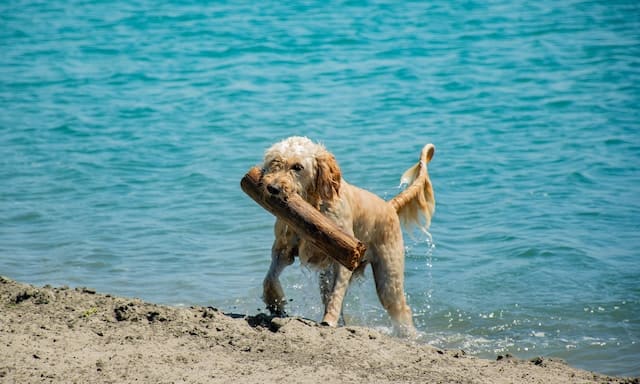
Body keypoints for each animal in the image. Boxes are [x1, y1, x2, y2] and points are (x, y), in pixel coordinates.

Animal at [260, 136, 436, 334]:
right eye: (274, 162)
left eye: (297, 167)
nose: (272, 188)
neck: (312, 205)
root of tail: (390, 206)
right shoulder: (284, 249)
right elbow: (269, 278)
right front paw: (275, 304)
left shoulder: (345, 257)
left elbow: (336, 295)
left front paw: (329, 321)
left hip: (389, 278)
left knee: (400, 308)